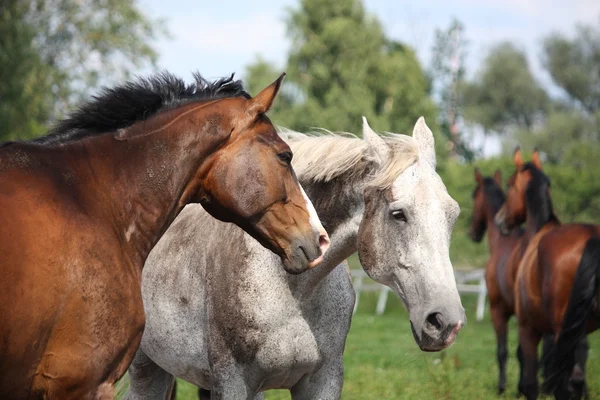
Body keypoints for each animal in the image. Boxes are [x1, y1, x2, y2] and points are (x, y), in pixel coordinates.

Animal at [125, 117, 464, 398]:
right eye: (398, 214)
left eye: (453, 214)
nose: (445, 322)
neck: (292, 286)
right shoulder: (233, 382)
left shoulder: (322, 381)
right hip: (144, 369)